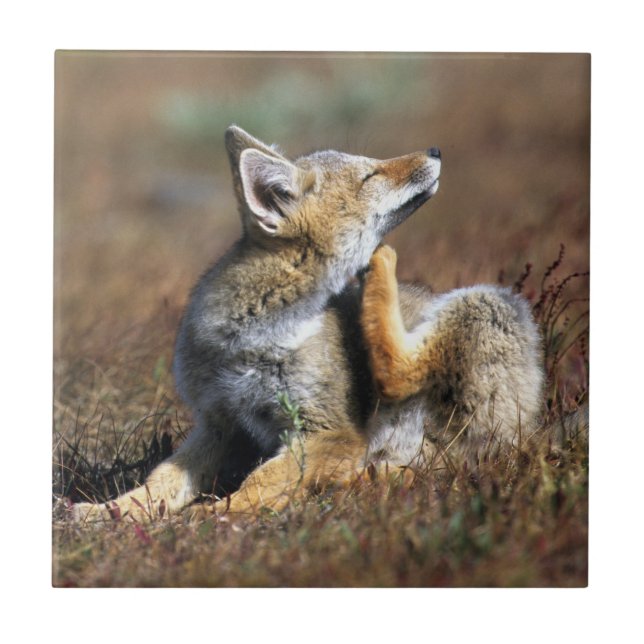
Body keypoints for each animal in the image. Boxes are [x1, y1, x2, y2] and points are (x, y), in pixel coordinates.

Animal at [71, 125, 543, 523]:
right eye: (370, 174)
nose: (436, 149)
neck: (250, 337)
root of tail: (537, 435)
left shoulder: (331, 430)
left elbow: (258, 480)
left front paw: (215, 514)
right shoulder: (220, 424)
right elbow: (161, 480)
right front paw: (109, 512)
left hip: (490, 302)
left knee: (400, 382)